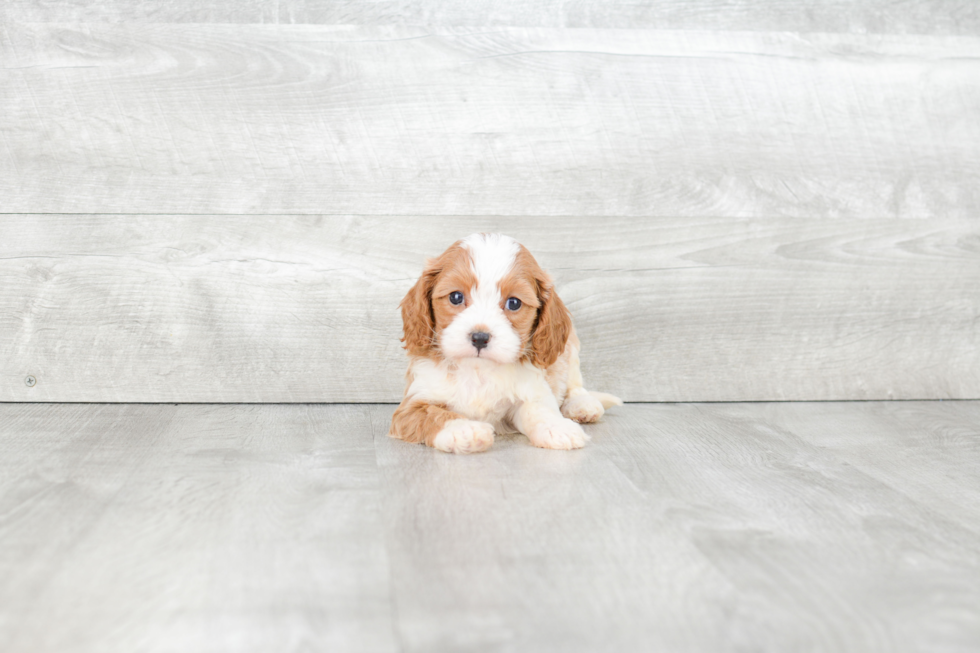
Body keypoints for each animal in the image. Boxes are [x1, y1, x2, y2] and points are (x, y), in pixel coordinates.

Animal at [384, 234, 620, 454]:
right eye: (456, 297)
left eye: (514, 303)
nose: (480, 337)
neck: (478, 370)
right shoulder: (412, 406)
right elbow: (434, 415)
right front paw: (464, 430)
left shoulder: (530, 391)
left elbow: (539, 410)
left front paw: (557, 427)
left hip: (570, 348)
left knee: (574, 383)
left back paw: (582, 405)